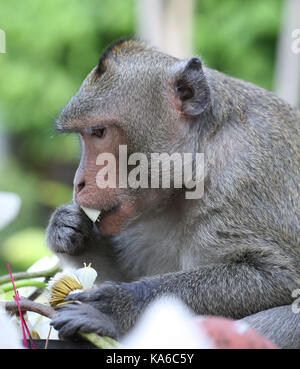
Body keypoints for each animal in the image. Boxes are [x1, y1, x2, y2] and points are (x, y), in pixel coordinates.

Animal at [45, 38, 300, 346]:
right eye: (84, 135)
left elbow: (280, 278)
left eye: (99, 132)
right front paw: (68, 228)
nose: (78, 182)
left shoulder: (247, 174)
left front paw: (116, 307)